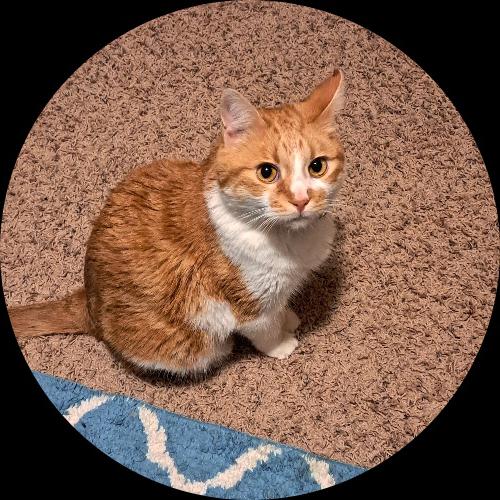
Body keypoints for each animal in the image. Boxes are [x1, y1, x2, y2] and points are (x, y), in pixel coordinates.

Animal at [8, 69, 346, 377]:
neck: (292, 242)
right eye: (267, 172)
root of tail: (87, 301)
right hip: (195, 348)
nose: (301, 200)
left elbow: (281, 308)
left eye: (317, 167)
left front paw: (289, 317)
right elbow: (266, 330)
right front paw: (282, 344)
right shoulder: (250, 306)